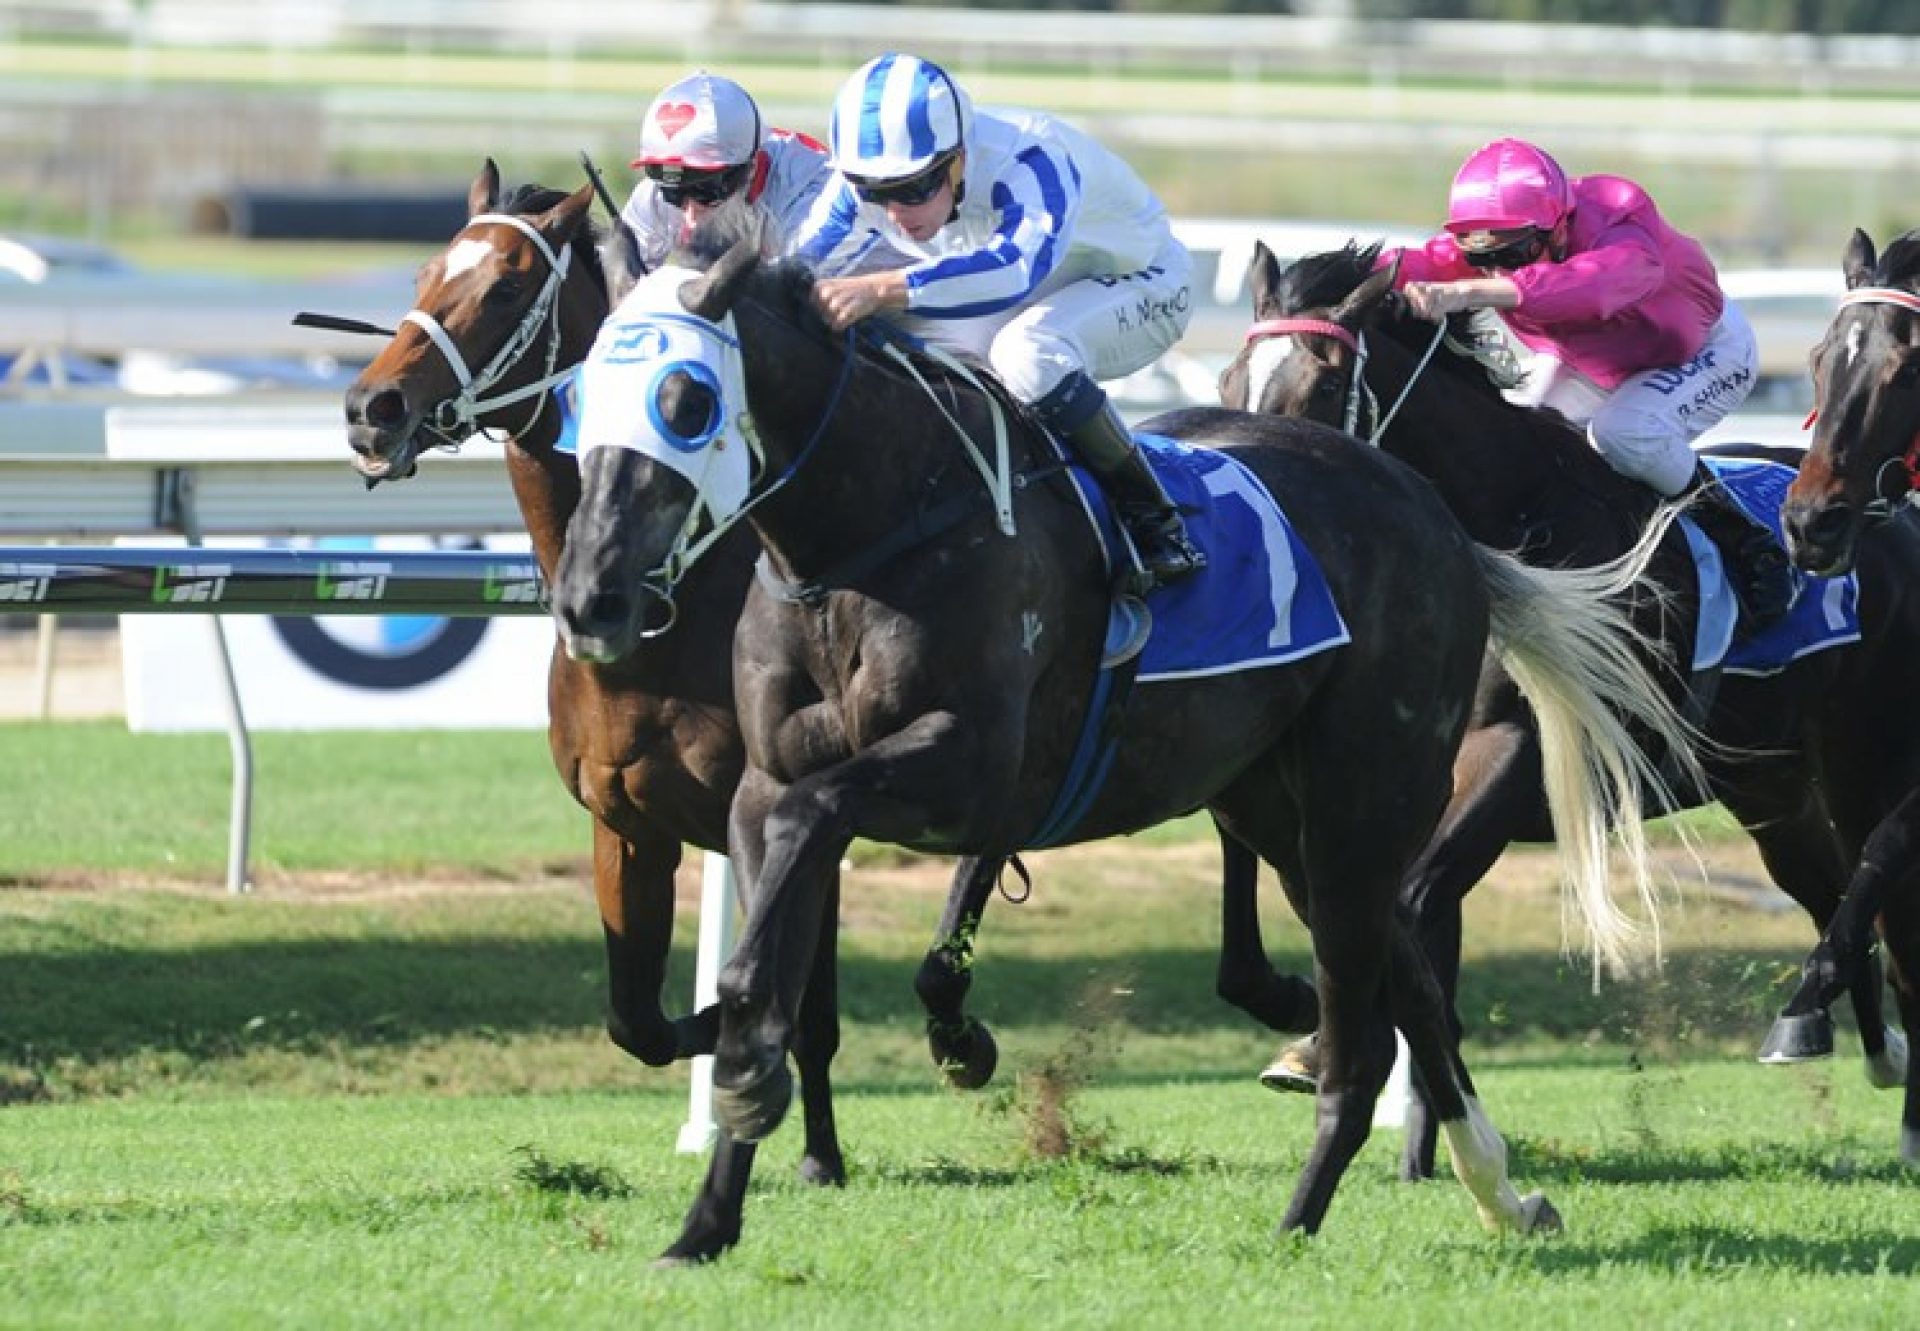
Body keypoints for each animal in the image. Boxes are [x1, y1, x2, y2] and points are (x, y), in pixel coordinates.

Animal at [1236, 241, 1912, 1175]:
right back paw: (1853, 1037)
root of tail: (1896, 522)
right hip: (1775, 793)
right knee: (1837, 896)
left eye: (1323, 384)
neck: (1519, 526)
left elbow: (1410, 898)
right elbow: (1408, 919)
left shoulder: (1527, 756)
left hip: (1864, 759)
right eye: (1234, 380)